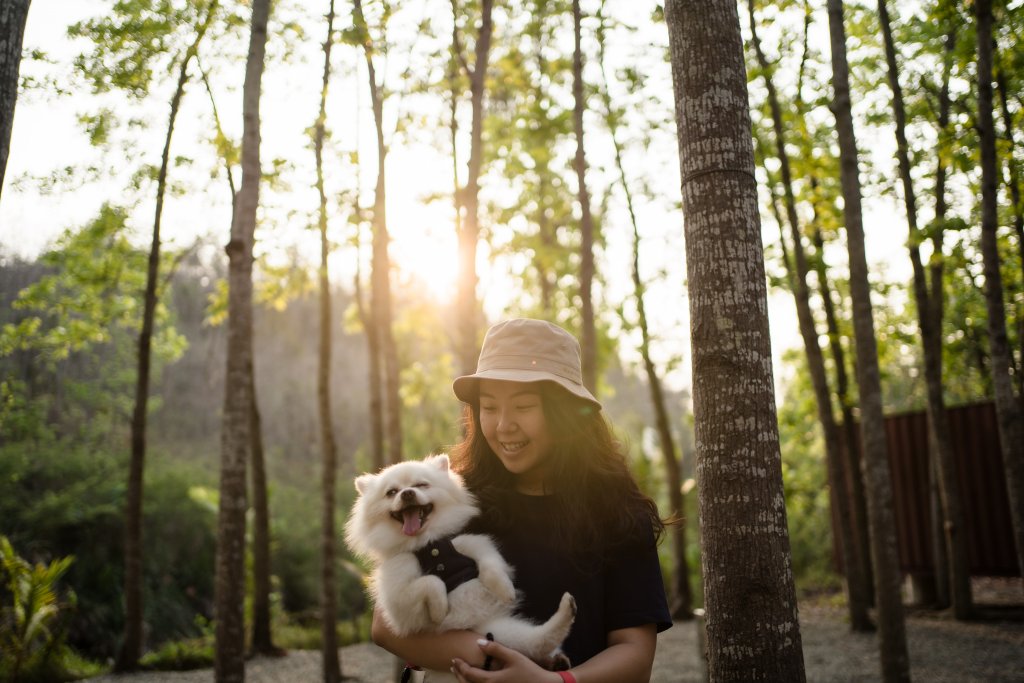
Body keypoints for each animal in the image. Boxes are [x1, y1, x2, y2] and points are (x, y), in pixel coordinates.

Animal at [342, 454, 573, 679]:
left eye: (421, 485)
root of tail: (478, 621)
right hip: (496, 635)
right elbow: (431, 580)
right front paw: (439, 610)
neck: (429, 545)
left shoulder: (471, 544)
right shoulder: (398, 601)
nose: (407, 493)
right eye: (391, 492)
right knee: (539, 642)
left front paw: (505, 589)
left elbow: (490, 565)